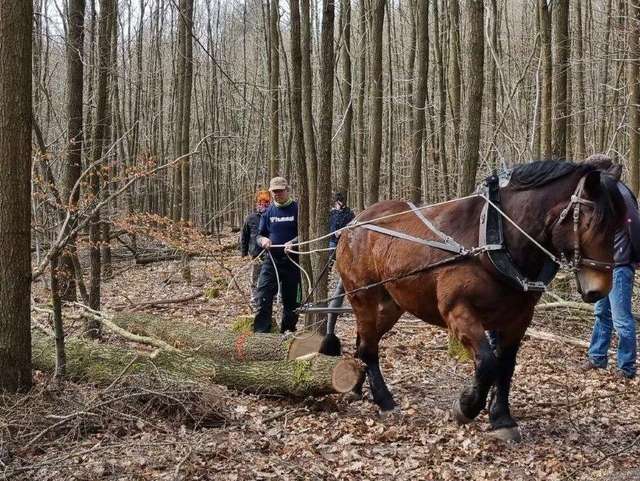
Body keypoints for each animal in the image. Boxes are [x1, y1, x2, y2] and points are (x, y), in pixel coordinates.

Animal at [330, 159, 624, 440]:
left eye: (618, 224)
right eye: (591, 221)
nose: (600, 289)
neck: (497, 238)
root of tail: (353, 225)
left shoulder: (518, 318)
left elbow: (505, 366)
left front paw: (502, 419)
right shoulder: (458, 311)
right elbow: (487, 363)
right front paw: (466, 407)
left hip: (392, 304)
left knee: (365, 341)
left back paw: (357, 386)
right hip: (362, 296)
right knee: (369, 347)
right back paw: (384, 401)